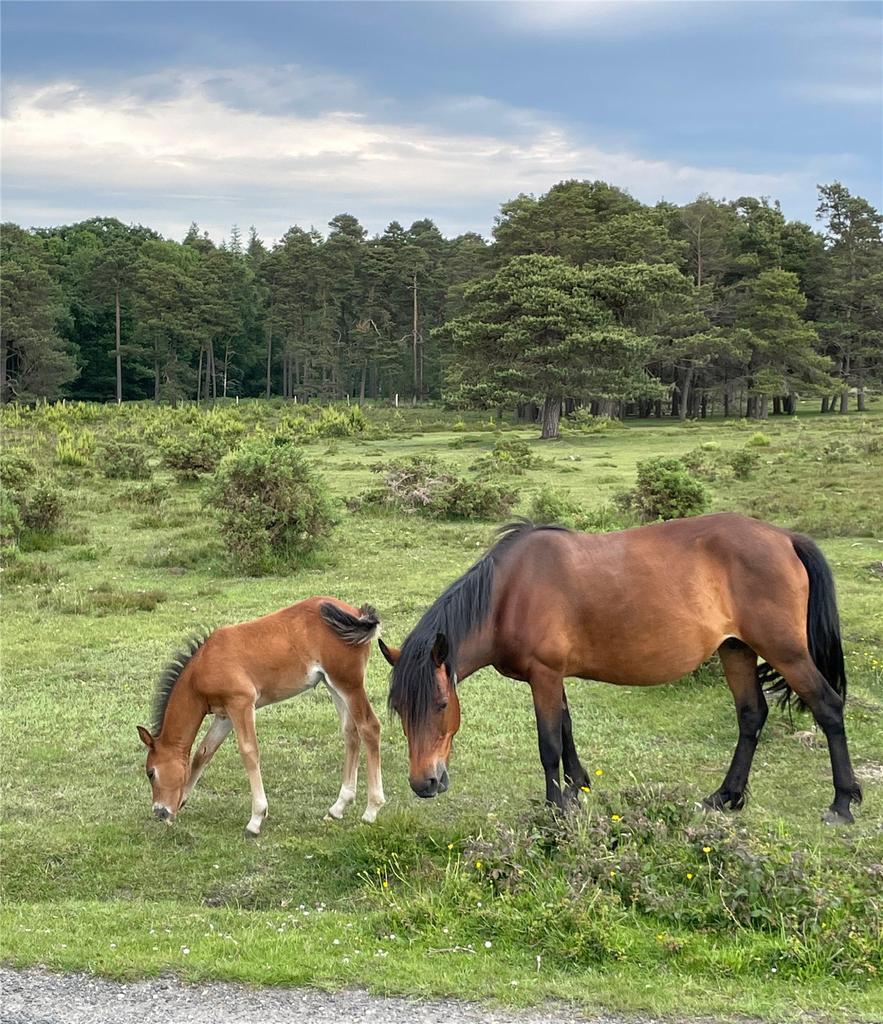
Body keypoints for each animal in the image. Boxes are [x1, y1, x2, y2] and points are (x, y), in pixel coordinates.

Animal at [137, 597, 385, 836]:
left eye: (151, 773)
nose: (159, 812)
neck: (203, 666)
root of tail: (356, 612)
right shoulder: (225, 714)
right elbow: (203, 753)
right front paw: (181, 804)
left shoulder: (241, 703)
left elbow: (249, 752)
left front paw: (255, 820)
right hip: (332, 684)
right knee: (350, 732)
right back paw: (338, 807)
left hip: (349, 683)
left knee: (369, 727)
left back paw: (371, 810)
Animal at [382, 514, 862, 825]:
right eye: (400, 711)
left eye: (441, 704)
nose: (424, 783)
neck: (509, 594)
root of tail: (786, 538)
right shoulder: (554, 677)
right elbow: (567, 730)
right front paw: (578, 789)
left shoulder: (544, 675)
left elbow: (549, 743)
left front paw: (555, 811)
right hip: (736, 649)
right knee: (751, 715)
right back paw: (724, 797)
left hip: (785, 651)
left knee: (828, 707)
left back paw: (842, 803)